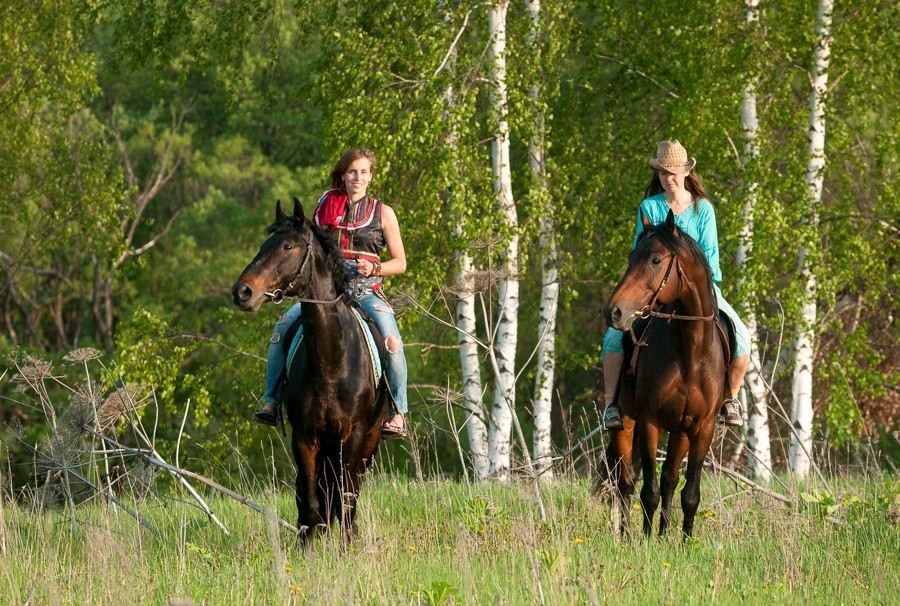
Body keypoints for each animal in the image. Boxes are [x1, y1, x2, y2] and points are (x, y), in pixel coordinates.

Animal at [229, 198, 386, 548]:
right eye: (264, 245)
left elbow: (345, 497)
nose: (242, 292)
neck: (331, 362)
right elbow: (311, 500)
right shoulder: (304, 437)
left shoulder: (353, 437)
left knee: (350, 491)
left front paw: (345, 548)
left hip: (369, 443)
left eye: (288, 246)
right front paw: (310, 550)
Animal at [600, 210, 728, 540]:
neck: (690, 353)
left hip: (680, 431)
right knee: (625, 483)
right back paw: (627, 536)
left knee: (670, 478)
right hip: (625, 424)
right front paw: (645, 542)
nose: (613, 312)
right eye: (631, 256)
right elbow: (649, 491)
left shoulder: (703, 428)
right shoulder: (649, 422)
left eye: (655, 260)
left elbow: (689, 493)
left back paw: (663, 534)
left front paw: (684, 542)